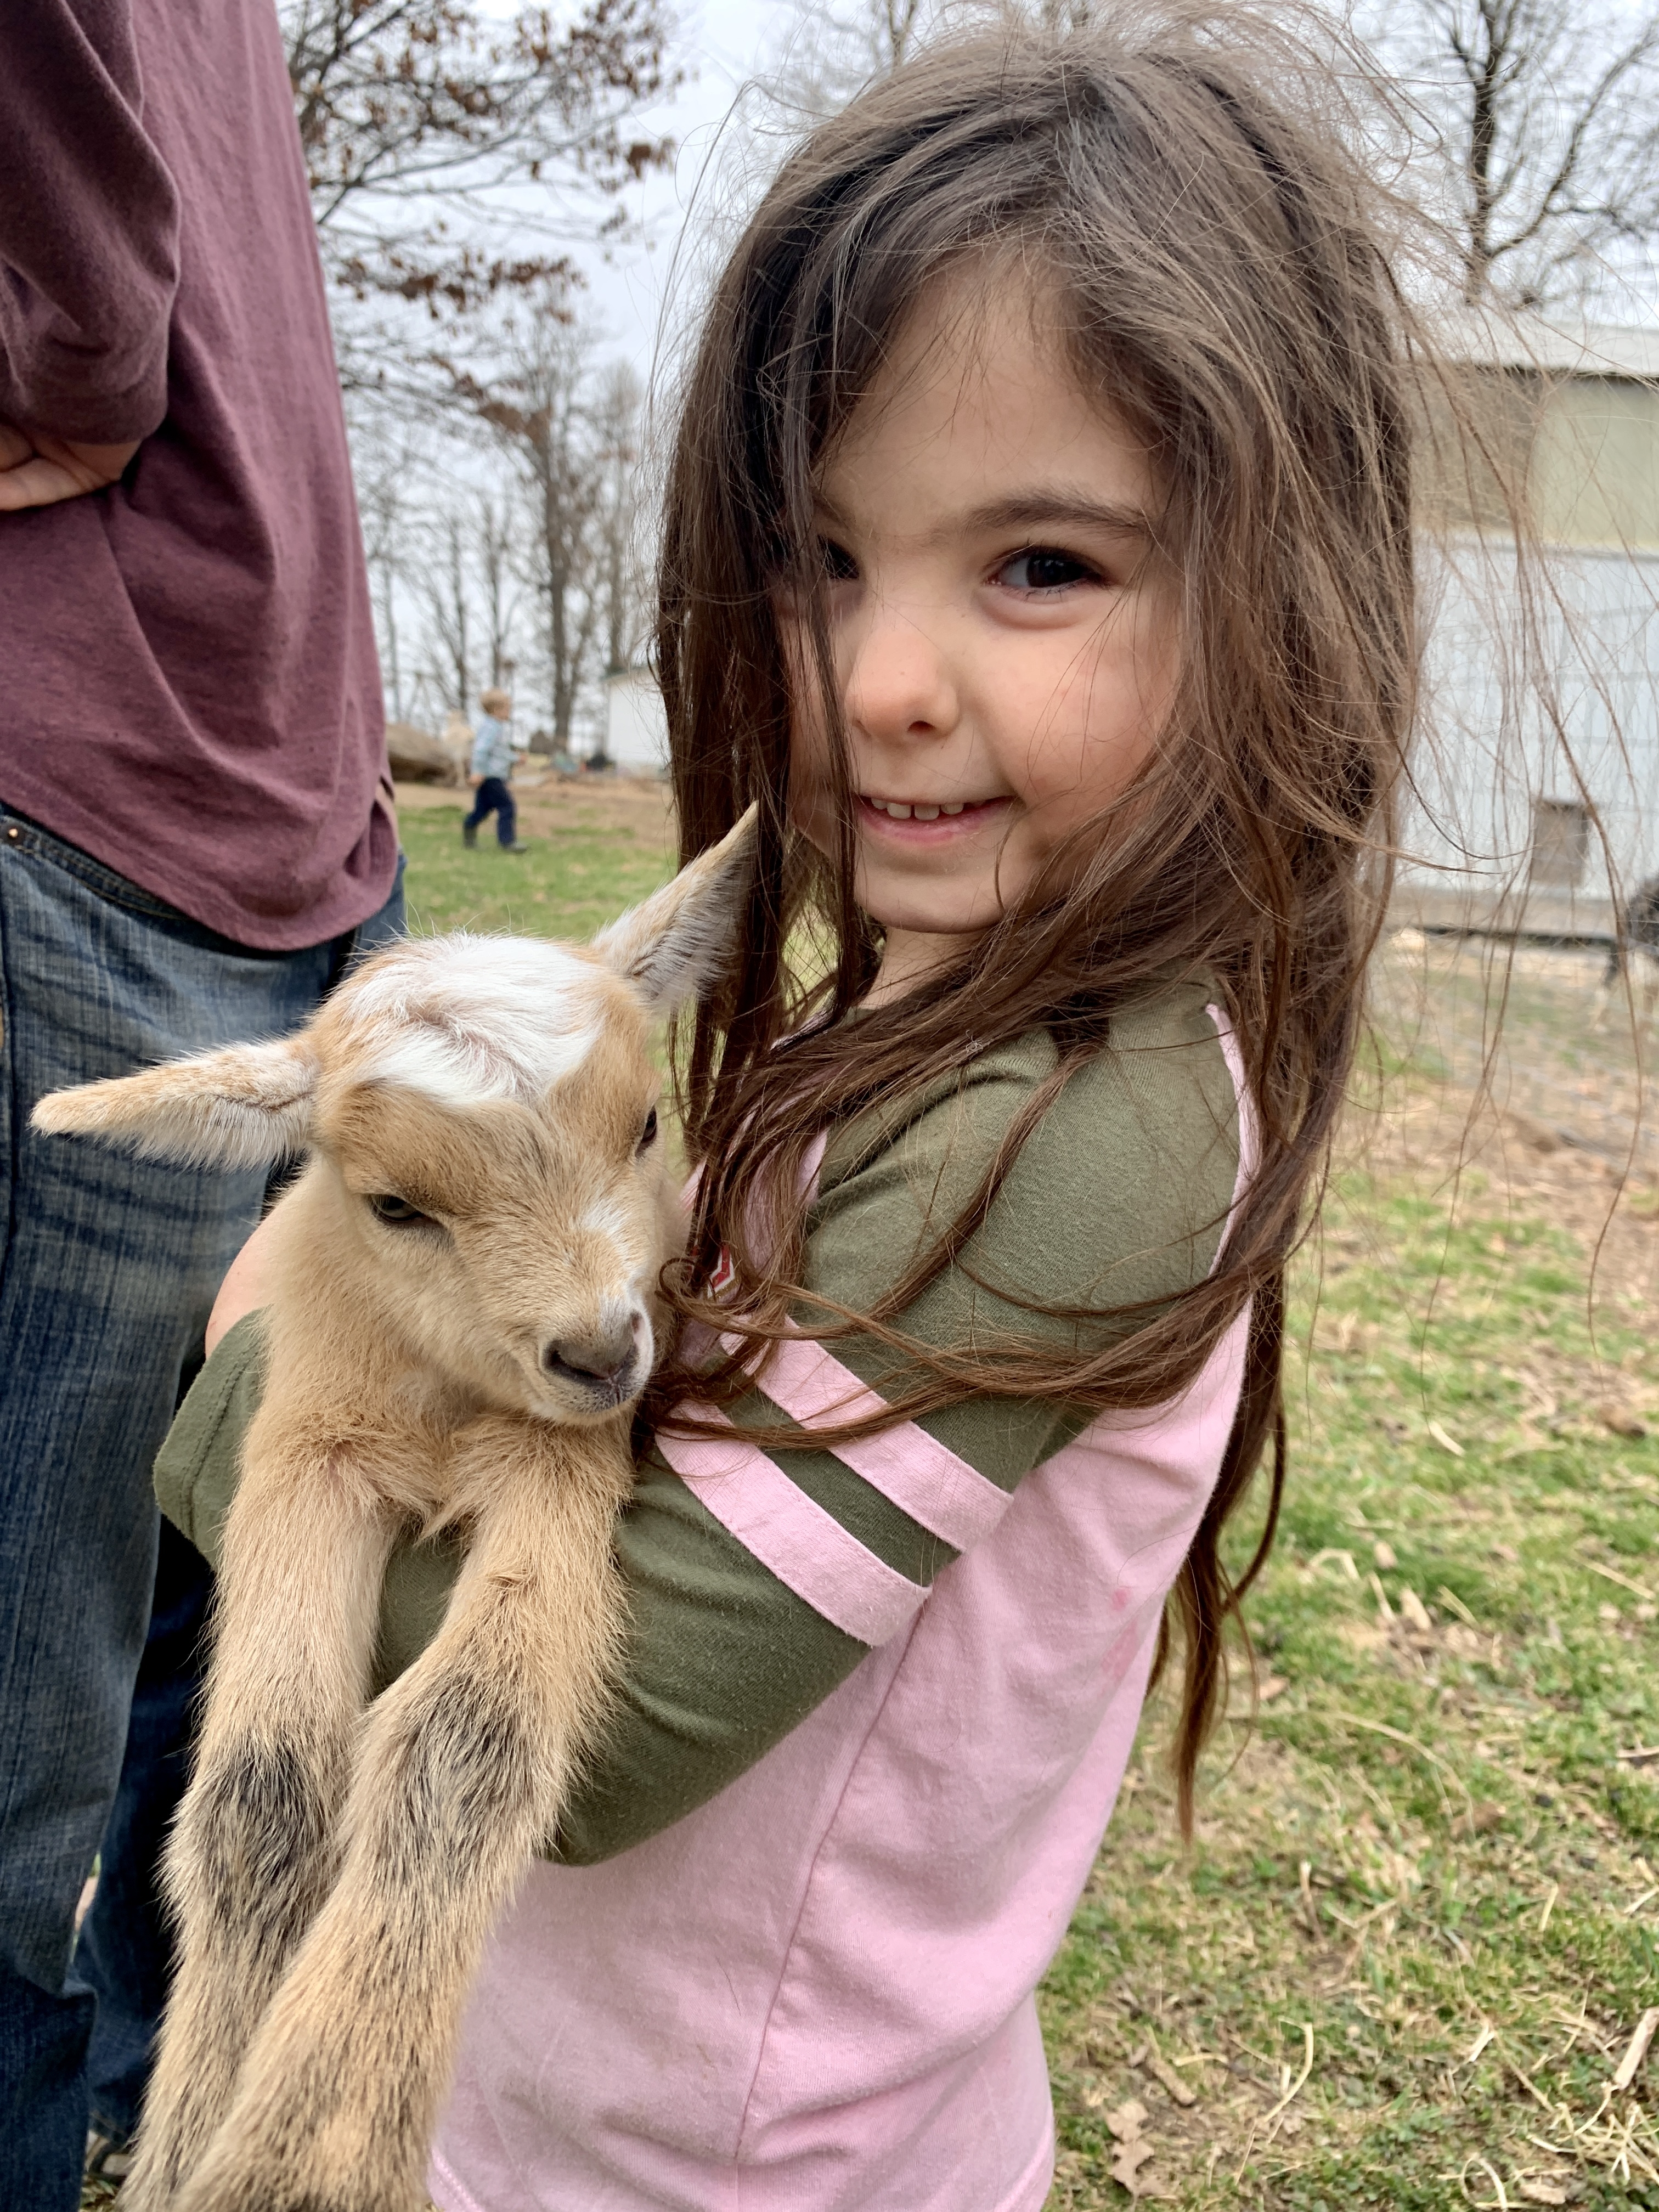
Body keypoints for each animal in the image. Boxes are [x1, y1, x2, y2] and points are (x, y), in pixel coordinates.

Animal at [34, 809, 757, 2212]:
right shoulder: (309, 1445)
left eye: (649, 1122)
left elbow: (465, 1744)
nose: (599, 1351)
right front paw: (195, 2142)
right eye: (393, 1205)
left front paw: (312, 2151)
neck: (437, 1403)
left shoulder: (556, 1463)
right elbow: (258, 1793)